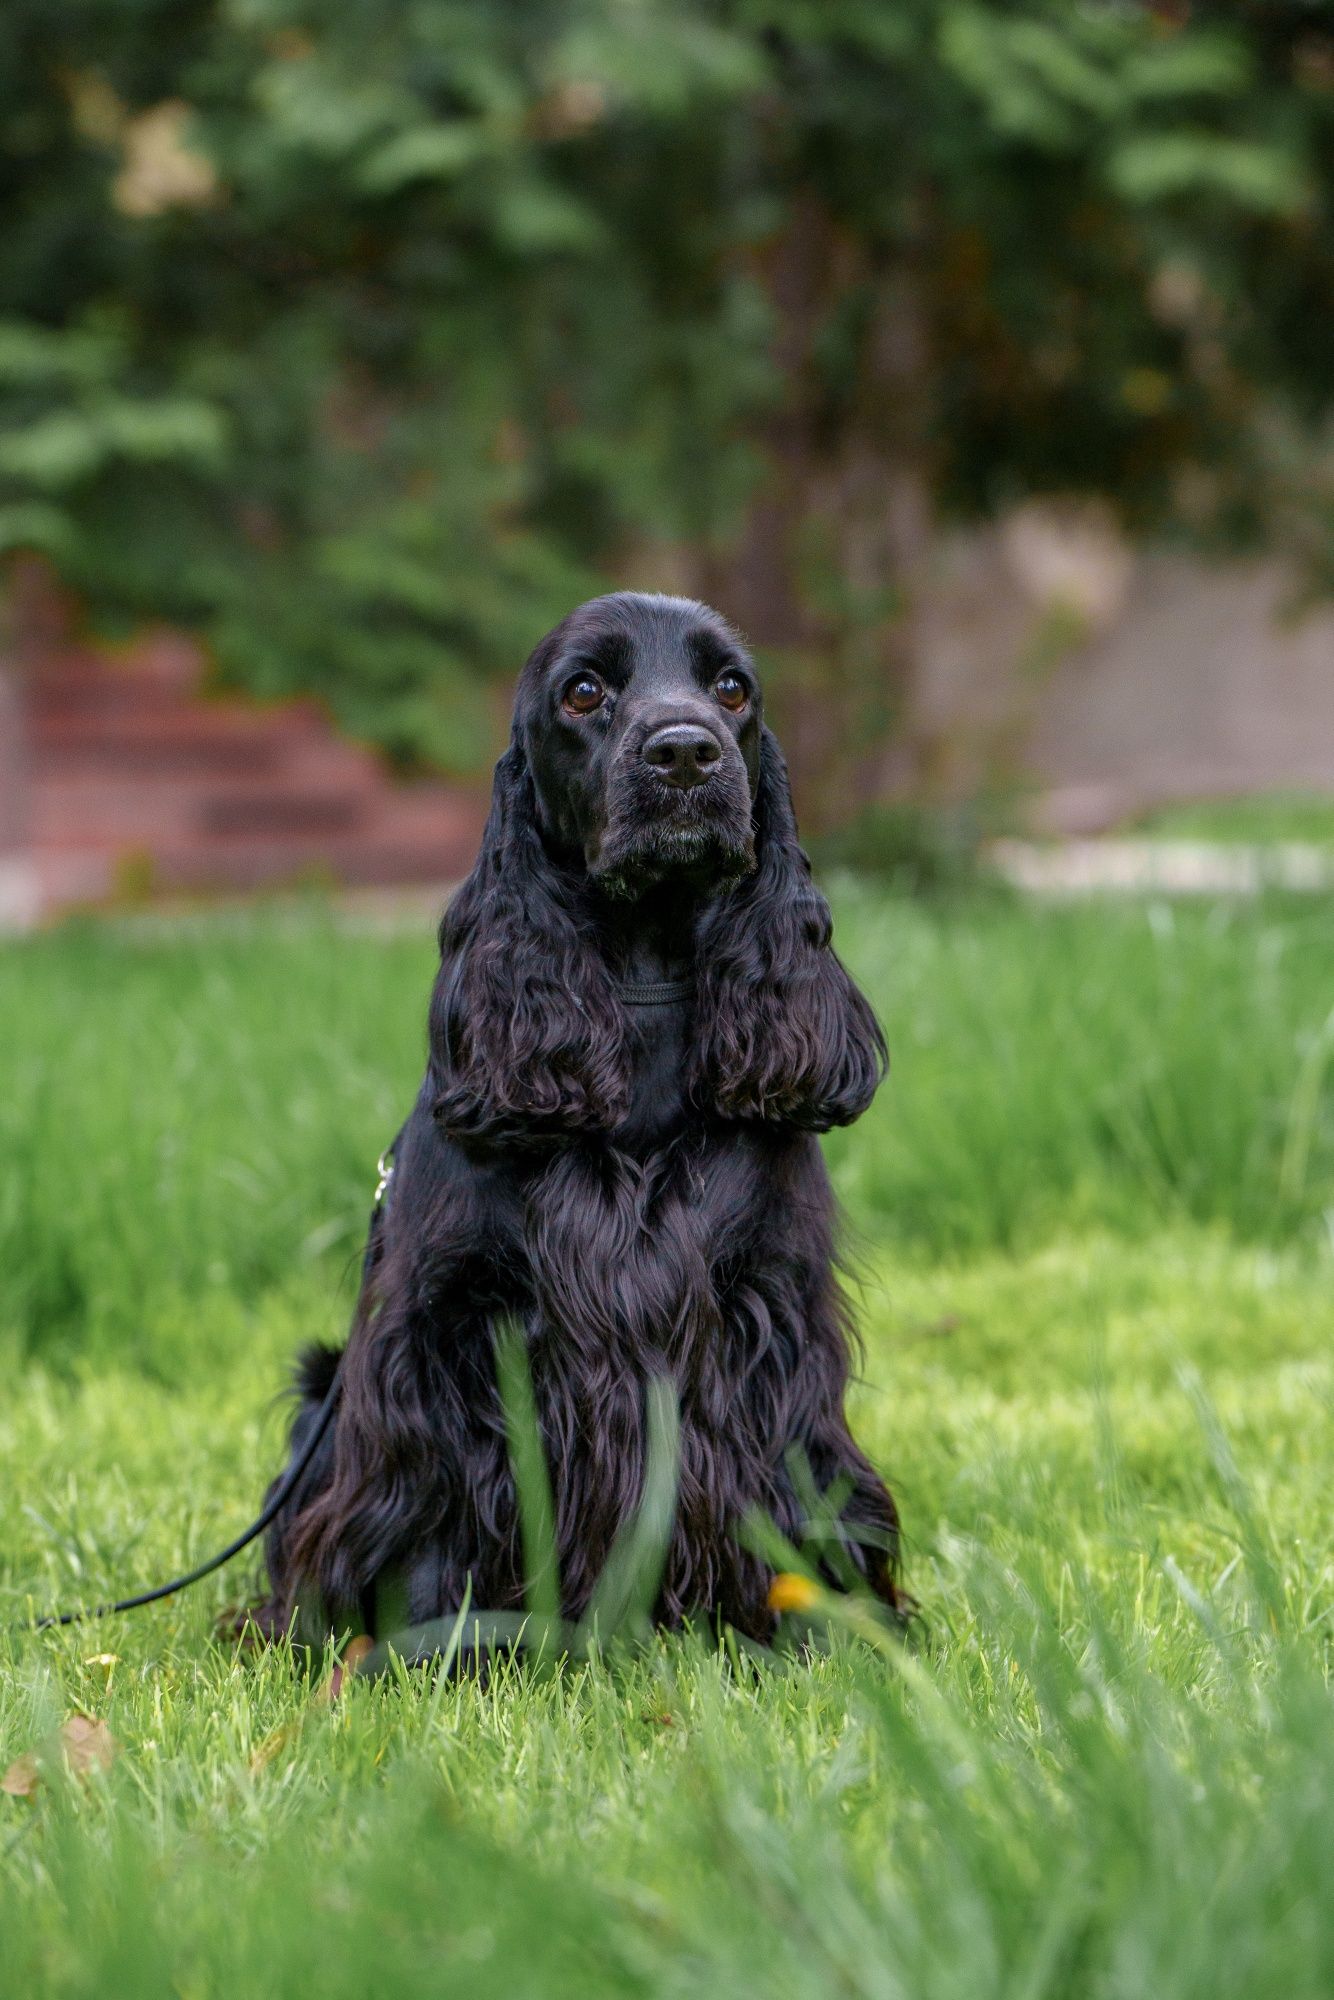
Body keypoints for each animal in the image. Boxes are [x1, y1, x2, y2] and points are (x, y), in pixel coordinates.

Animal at [258, 588, 908, 1640]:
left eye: (732, 687)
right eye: (585, 691)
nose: (685, 753)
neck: (639, 983)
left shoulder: (770, 1307)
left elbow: (788, 1479)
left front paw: (818, 1631)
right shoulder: (449, 1325)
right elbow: (438, 1497)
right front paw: (431, 1640)